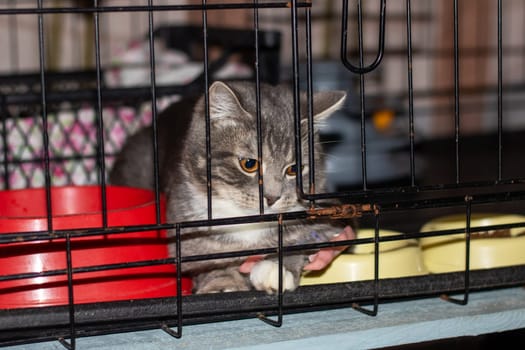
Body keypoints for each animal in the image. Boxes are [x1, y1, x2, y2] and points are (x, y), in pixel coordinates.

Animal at [110, 80, 348, 294]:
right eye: (249, 164)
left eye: (294, 169)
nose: (272, 197)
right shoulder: (187, 236)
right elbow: (210, 261)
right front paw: (222, 283)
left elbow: (302, 239)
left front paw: (276, 269)